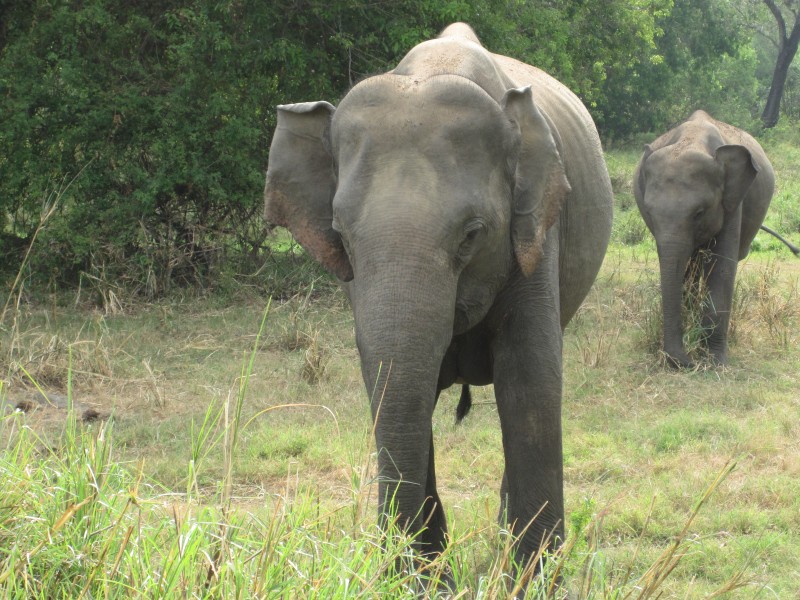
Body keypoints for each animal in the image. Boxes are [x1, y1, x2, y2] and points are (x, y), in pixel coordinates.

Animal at [262, 23, 612, 576]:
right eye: (342, 236)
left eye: (472, 235)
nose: (396, 568)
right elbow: (391, 384)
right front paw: (423, 580)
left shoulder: (536, 238)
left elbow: (531, 382)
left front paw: (532, 579)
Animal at [632, 110, 776, 368]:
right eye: (649, 212)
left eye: (699, 213)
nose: (686, 362)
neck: (692, 139)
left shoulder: (731, 202)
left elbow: (722, 267)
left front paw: (715, 362)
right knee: (692, 266)